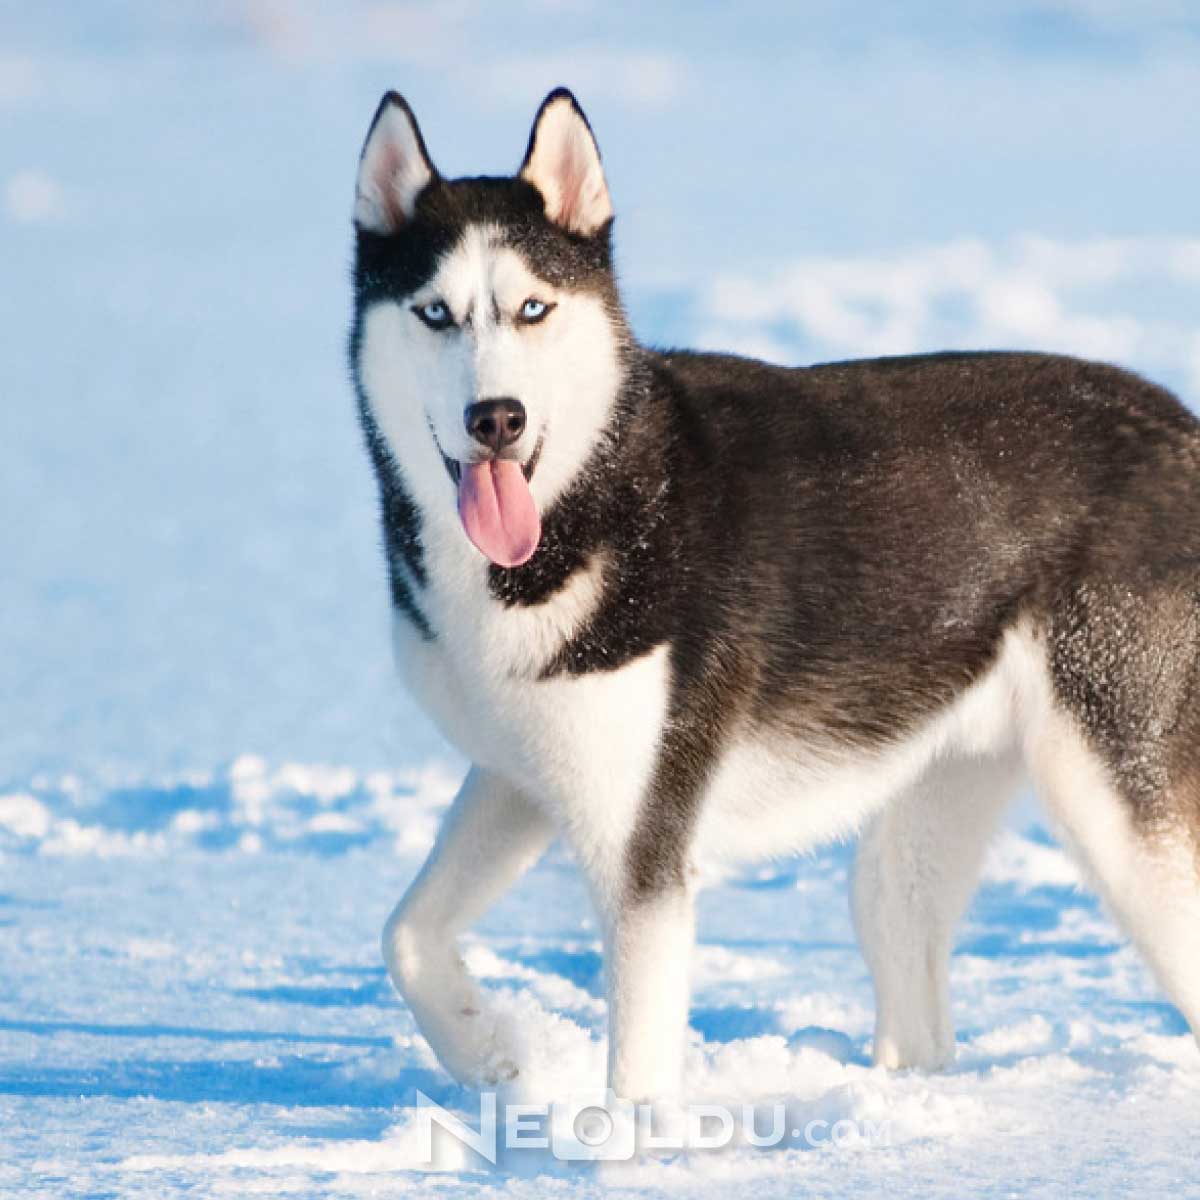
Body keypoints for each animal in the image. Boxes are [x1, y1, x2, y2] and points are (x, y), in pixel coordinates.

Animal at [348, 87, 1200, 1099]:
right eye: (436, 313)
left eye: (532, 309)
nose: (497, 419)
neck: (593, 499)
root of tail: (1181, 424)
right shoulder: (519, 777)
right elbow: (404, 935)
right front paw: (494, 1052)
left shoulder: (643, 849)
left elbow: (637, 1073)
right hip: (919, 829)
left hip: (1119, 820)